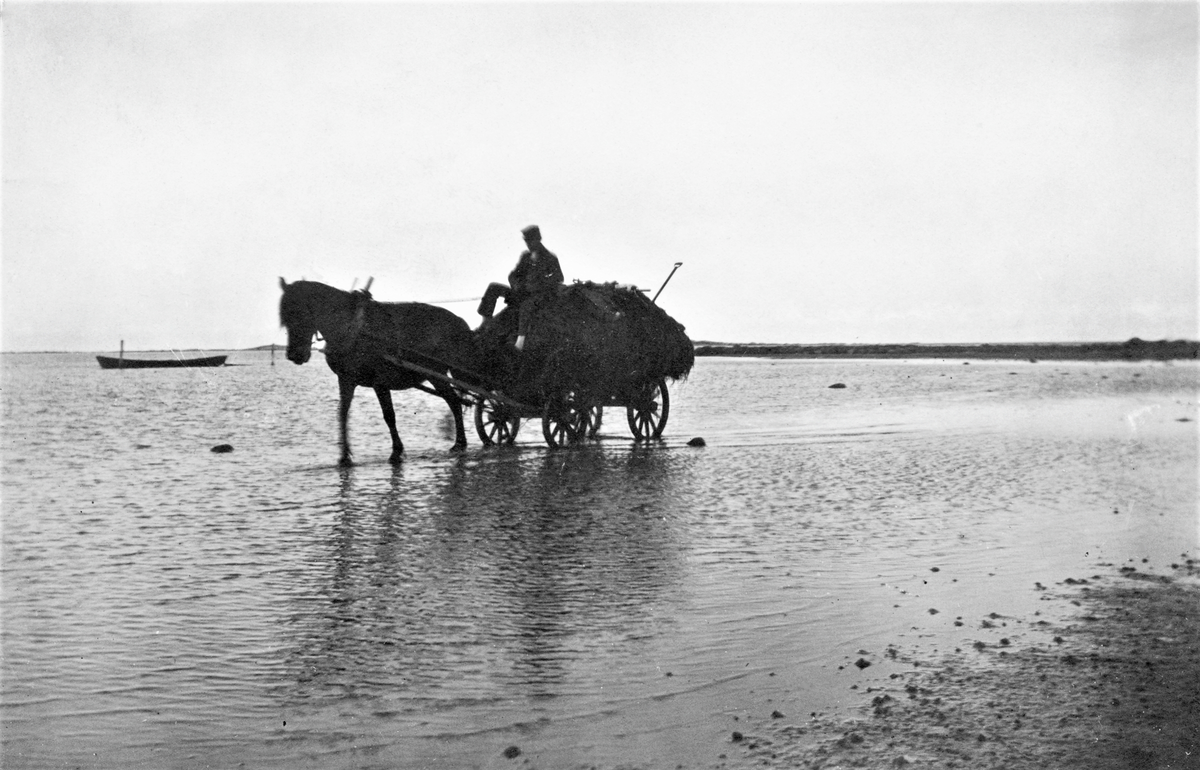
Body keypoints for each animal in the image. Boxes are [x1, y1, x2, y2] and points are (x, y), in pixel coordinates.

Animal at [278, 278, 484, 465]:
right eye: (284, 318)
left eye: (298, 312)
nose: (295, 355)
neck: (353, 329)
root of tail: (460, 322)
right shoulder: (346, 380)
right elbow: (342, 414)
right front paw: (344, 456)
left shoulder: (380, 382)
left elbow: (389, 416)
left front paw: (396, 452)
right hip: (436, 374)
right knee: (455, 401)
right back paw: (460, 443)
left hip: (439, 374)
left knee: (456, 402)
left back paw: (461, 443)